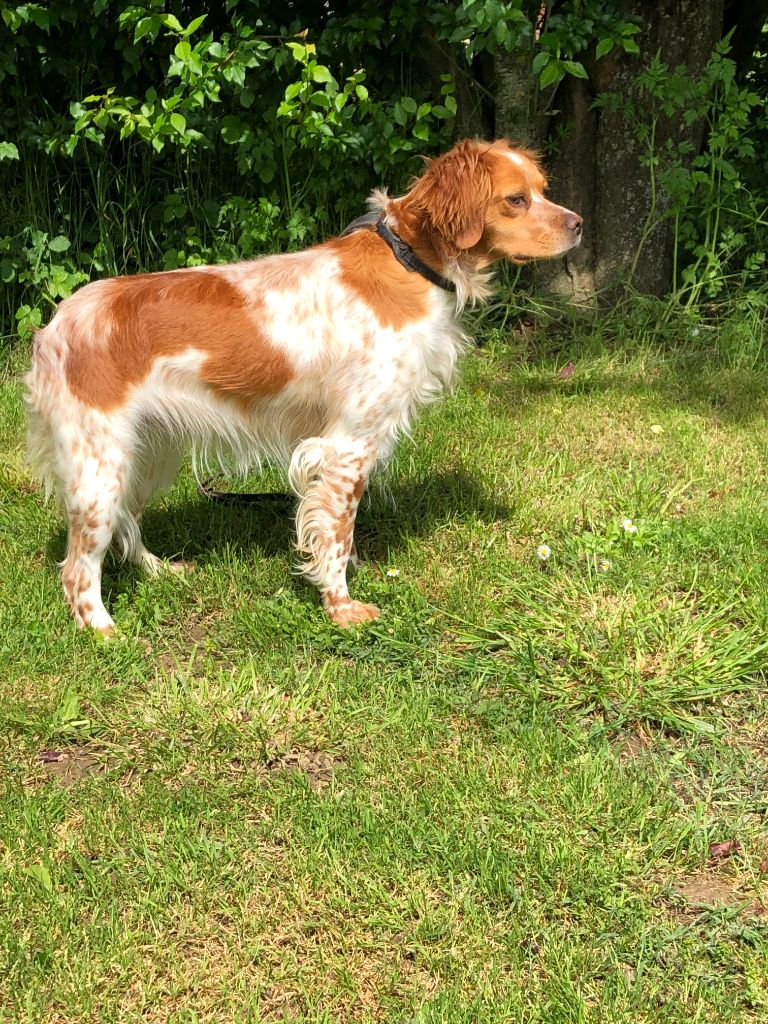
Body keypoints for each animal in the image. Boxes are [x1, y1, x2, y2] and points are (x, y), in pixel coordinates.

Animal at [25, 136, 581, 630]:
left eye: (544, 189)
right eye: (516, 199)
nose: (579, 224)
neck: (410, 264)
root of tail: (54, 326)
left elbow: (338, 530)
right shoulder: (347, 445)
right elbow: (336, 532)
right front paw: (341, 607)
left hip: (147, 455)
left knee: (127, 525)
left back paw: (159, 569)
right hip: (100, 468)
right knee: (79, 566)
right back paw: (103, 630)